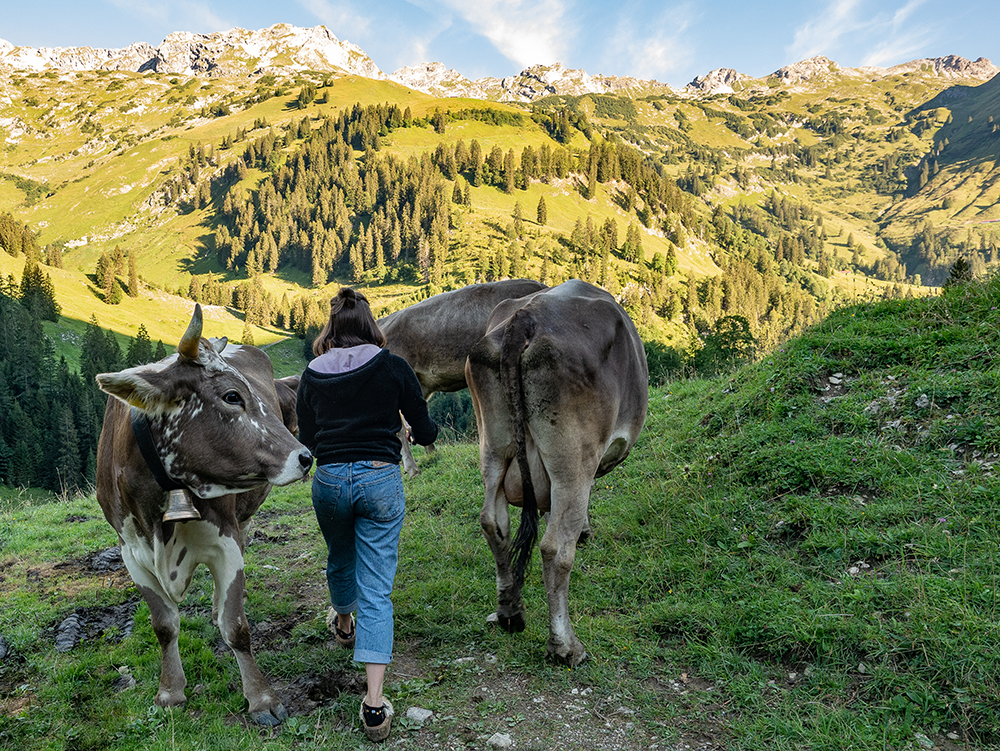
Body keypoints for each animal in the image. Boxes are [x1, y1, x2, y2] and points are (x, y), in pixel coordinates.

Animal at [96, 306, 312, 728]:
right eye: (232, 396)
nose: (305, 457)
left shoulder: (225, 541)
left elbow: (237, 627)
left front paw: (261, 699)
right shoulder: (131, 553)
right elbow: (164, 626)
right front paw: (170, 691)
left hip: (243, 518)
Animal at [462, 280, 644, 664]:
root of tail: (526, 318)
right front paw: (586, 529)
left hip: (492, 447)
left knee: (493, 522)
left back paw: (510, 612)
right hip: (572, 462)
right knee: (555, 548)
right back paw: (565, 645)